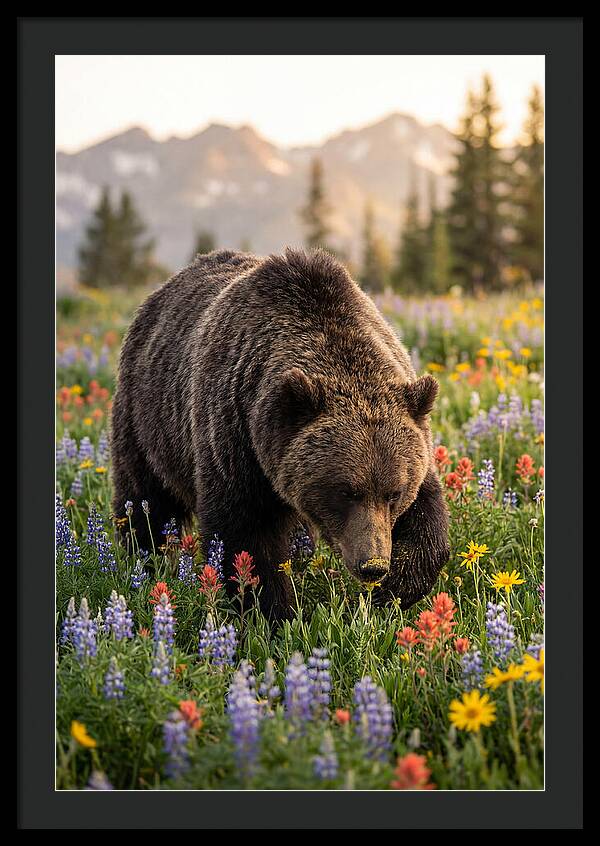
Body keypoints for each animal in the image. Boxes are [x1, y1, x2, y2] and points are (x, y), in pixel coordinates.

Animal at [110, 248, 449, 620]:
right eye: (346, 492)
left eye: (394, 492)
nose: (372, 565)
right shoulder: (235, 436)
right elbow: (245, 536)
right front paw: (273, 613)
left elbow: (427, 516)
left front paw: (395, 589)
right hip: (147, 420)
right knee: (145, 499)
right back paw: (142, 560)